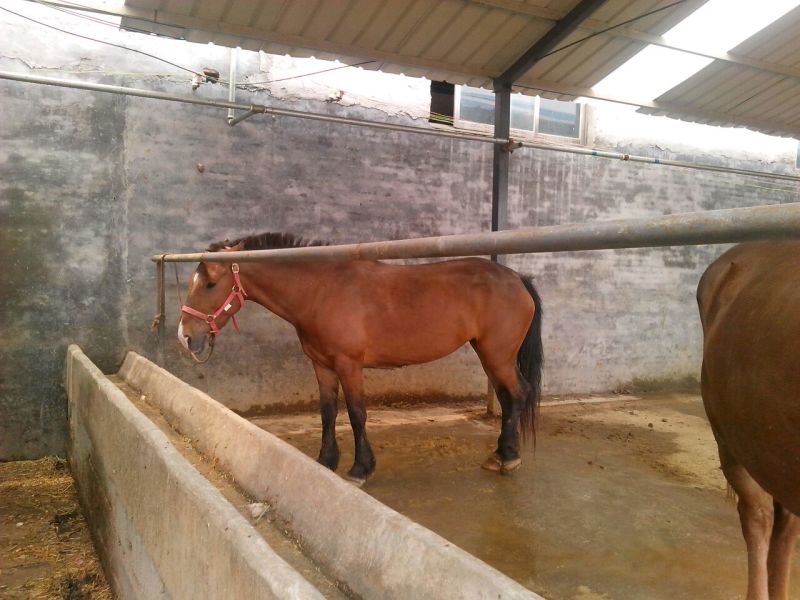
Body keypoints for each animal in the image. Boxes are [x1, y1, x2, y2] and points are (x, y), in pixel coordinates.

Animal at [177, 232, 543, 485]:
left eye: (211, 283)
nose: (185, 336)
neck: (322, 290)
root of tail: (516, 279)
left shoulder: (349, 365)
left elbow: (356, 414)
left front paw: (360, 468)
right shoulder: (322, 365)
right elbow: (327, 413)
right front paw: (325, 461)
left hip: (498, 356)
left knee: (519, 394)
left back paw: (508, 458)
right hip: (488, 356)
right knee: (508, 399)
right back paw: (501, 454)